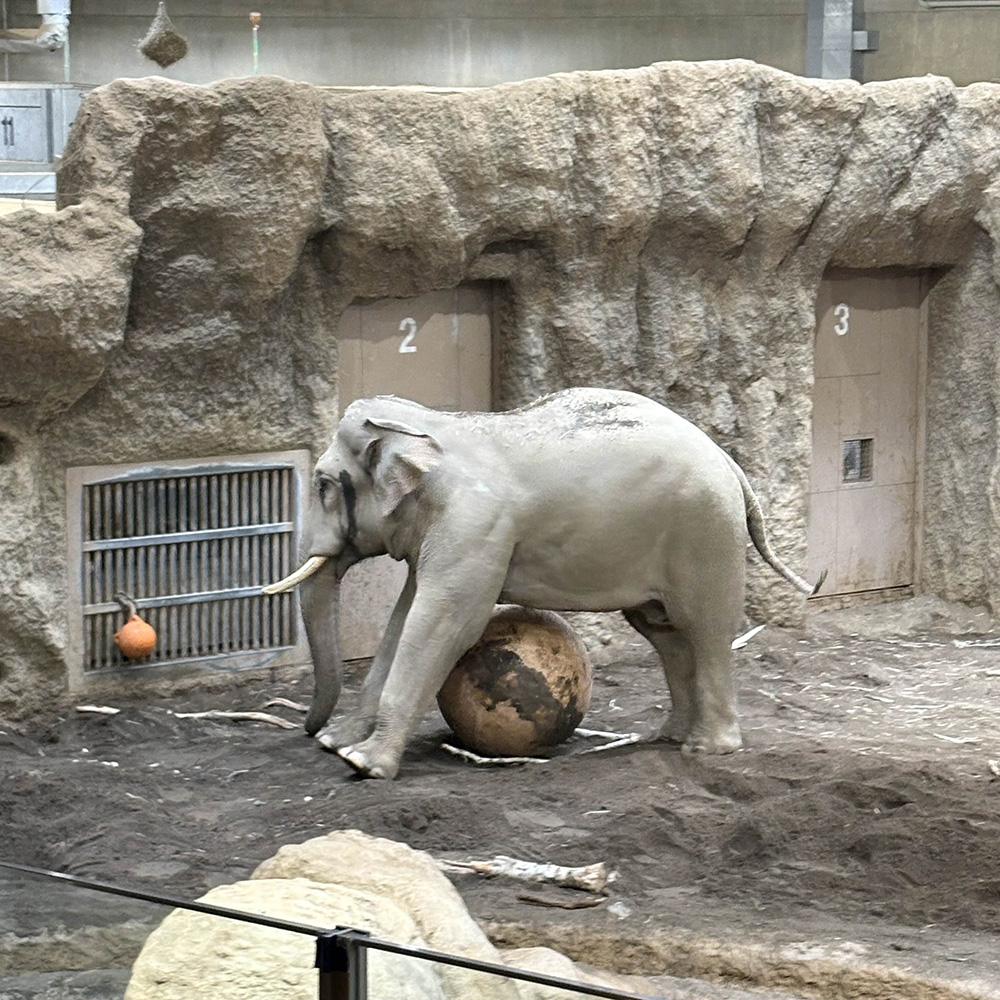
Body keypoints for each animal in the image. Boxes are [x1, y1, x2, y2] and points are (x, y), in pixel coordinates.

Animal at [264, 387, 824, 779]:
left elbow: (443, 623)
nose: (309, 731)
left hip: (704, 532)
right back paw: (666, 737)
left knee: (704, 629)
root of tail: (731, 462)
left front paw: (362, 764)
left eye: (322, 485)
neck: (429, 425)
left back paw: (708, 748)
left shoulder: (476, 525)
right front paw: (342, 744)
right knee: (664, 633)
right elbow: (406, 618)